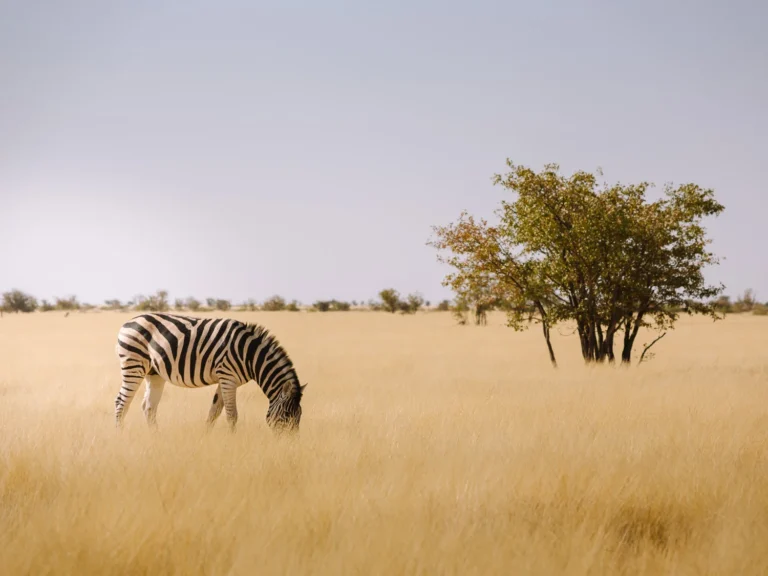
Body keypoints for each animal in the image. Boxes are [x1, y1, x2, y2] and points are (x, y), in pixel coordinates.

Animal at [114, 312, 306, 433]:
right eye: (287, 415)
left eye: (300, 416)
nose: (291, 446)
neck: (249, 355)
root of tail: (128, 322)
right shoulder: (228, 378)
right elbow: (231, 415)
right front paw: (232, 441)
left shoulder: (225, 380)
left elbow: (214, 412)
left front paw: (206, 437)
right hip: (134, 364)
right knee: (121, 403)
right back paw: (120, 435)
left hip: (154, 374)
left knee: (148, 407)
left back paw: (156, 437)